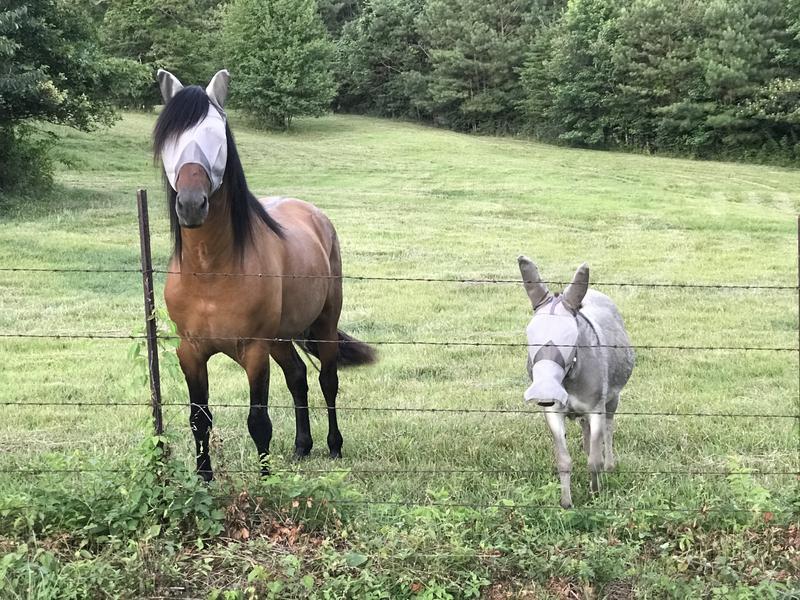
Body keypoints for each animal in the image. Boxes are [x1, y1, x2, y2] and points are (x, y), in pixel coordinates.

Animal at [153, 69, 376, 481]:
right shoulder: (190, 352)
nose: (191, 204)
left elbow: (259, 422)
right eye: (168, 137)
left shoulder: (255, 351)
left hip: (322, 323)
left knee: (327, 380)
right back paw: (302, 447)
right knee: (298, 378)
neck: (211, 270)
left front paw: (266, 482)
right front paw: (204, 481)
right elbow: (199, 419)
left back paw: (334, 446)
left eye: (216, 133)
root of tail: (314, 213)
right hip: (280, 338)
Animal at [518, 256, 634, 508]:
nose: (545, 393)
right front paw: (566, 503)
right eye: (529, 334)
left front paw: (595, 495)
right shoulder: (553, 413)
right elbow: (563, 460)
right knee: (586, 431)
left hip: (612, 400)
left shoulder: (596, 408)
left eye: (571, 337)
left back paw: (610, 465)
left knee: (608, 431)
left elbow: (595, 460)